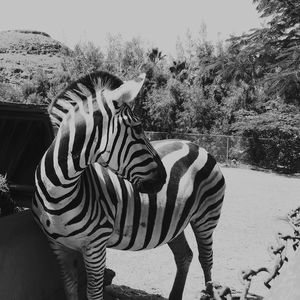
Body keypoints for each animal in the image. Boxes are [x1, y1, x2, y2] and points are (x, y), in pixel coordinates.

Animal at [32, 71, 166, 300]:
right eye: (139, 127)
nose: (163, 178)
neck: (57, 192)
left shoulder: (96, 245)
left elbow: (93, 292)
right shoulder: (58, 246)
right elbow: (70, 288)